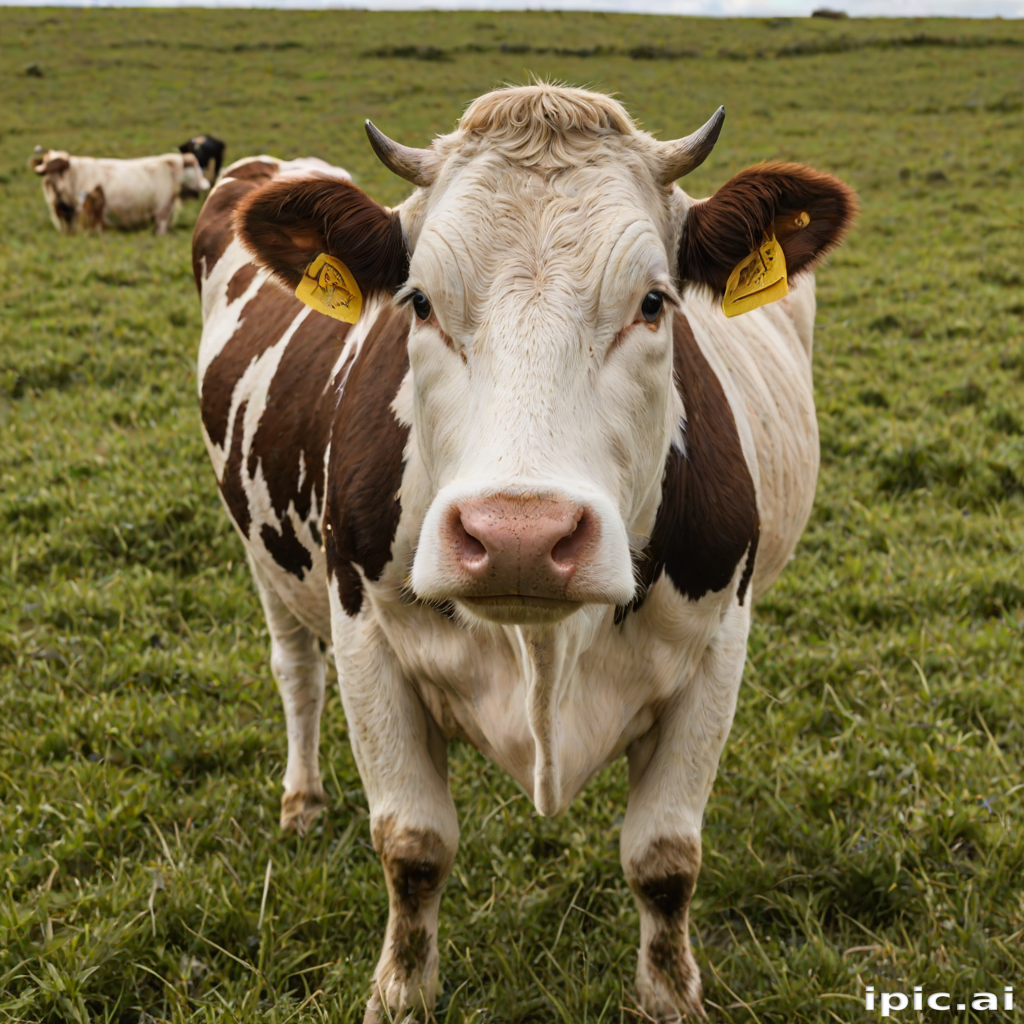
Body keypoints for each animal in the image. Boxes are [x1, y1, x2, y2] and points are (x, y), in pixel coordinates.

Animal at [193, 86, 856, 1023]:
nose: (519, 538)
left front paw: (670, 994)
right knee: (295, 670)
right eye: (419, 302)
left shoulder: (719, 646)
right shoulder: (365, 638)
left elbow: (665, 858)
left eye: (654, 302)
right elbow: (413, 845)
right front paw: (401, 991)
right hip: (264, 554)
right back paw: (302, 801)